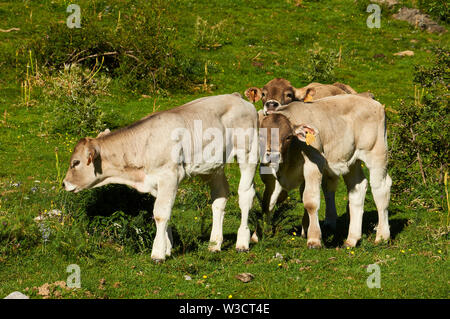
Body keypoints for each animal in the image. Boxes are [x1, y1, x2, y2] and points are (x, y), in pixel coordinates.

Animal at [64, 93, 260, 262]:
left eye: (76, 162)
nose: (65, 183)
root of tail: (236, 97)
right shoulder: (156, 182)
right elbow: (166, 212)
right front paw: (167, 248)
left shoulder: (169, 176)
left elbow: (160, 214)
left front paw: (158, 253)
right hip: (214, 167)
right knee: (220, 197)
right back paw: (215, 244)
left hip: (248, 153)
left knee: (245, 194)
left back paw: (242, 241)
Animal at [258, 95, 392, 250]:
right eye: (261, 136)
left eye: (287, 137)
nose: (272, 156)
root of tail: (372, 102)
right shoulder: (269, 175)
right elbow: (268, 202)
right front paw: (261, 234)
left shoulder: (314, 164)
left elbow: (310, 202)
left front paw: (314, 239)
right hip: (351, 159)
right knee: (357, 189)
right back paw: (352, 239)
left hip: (376, 153)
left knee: (380, 189)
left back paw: (382, 236)